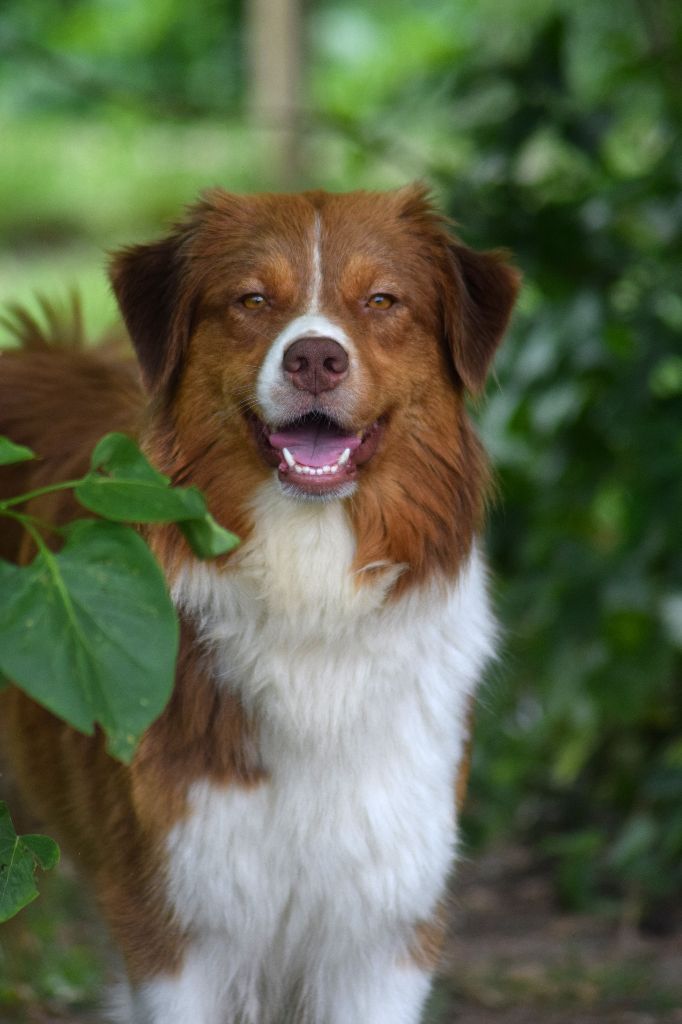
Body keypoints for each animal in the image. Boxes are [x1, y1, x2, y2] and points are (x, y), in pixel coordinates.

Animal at [0, 186, 518, 1024]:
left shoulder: (385, 930)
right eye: (252, 300)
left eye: (382, 301)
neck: (311, 592)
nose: (315, 359)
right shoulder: (175, 926)